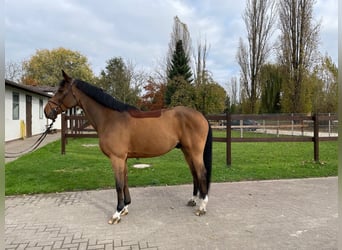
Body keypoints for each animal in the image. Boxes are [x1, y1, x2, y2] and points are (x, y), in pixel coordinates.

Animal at [44, 71, 212, 225]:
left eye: (60, 91)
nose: (47, 111)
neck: (110, 118)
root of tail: (201, 116)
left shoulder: (116, 158)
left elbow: (118, 184)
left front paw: (117, 213)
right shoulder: (123, 158)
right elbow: (124, 181)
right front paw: (125, 208)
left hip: (195, 152)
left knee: (201, 173)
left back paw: (202, 207)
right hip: (186, 151)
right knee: (194, 173)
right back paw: (193, 200)